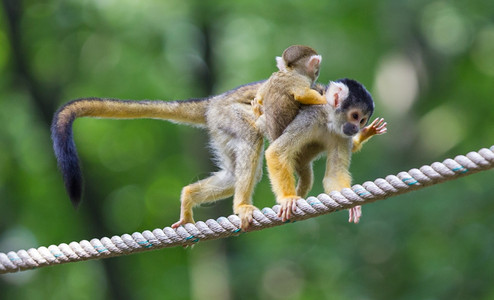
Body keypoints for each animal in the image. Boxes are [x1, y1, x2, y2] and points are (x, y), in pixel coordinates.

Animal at [264, 78, 388, 224]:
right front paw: (288, 198)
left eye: (362, 120)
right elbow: (277, 152)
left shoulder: (342, 136)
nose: (356, 128)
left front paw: (352, 206)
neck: (328, 120)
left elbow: (334, 175)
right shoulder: (310, 117)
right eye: (355, 116)